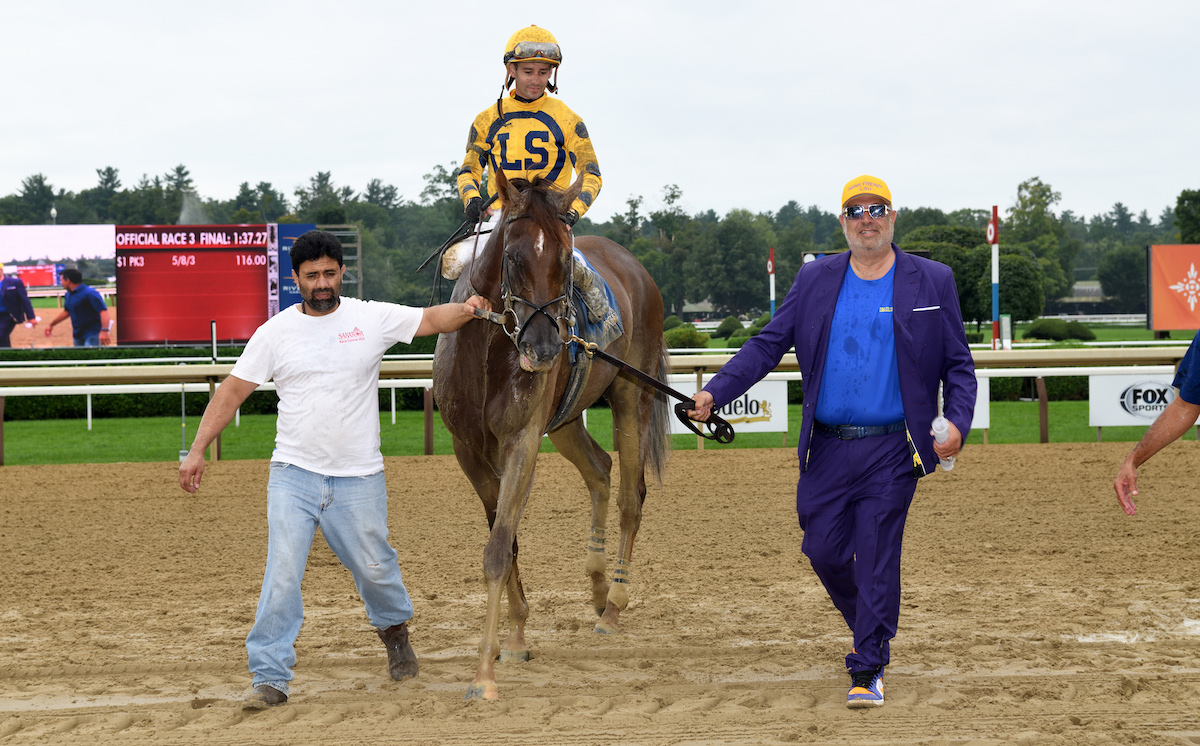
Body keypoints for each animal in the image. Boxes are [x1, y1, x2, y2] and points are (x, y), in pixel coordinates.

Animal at [434, 173, 676, 700]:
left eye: (565, 261)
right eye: (512, 256)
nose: (544, 348)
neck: (488, 352)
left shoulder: (522, 440)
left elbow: (498, 547)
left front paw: (484, 674)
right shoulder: (469, 451)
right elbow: (506, 540)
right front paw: (517, 637)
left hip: (631, 394)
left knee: (631, 496)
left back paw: (614, 603)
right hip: (565, 420)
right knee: (600, 469)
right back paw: (599, 585)